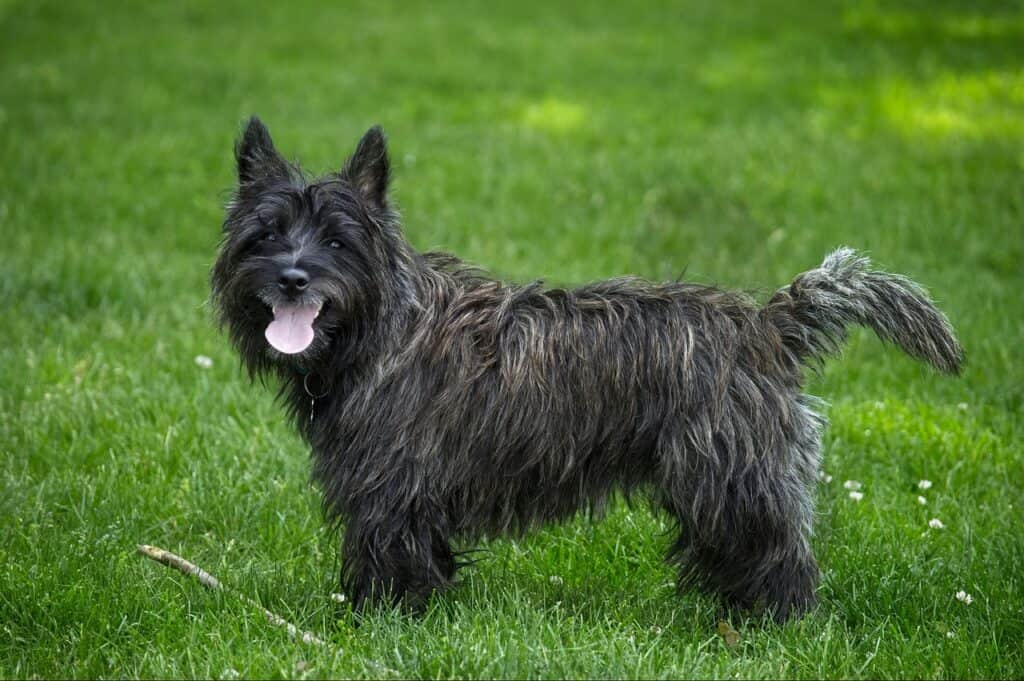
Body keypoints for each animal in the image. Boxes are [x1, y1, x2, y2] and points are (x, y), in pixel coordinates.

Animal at [207, 118, 958, 622]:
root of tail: (768, 325)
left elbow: (388, 555)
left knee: (779, 553)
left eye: (338, 240)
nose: (293, 277)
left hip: (733, 478)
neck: (380, 328)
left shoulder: (390, 487)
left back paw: (773, 624)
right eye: (264, 234)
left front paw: (382, 621)